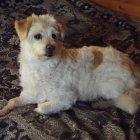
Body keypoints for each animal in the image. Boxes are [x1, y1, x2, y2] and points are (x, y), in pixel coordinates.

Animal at [0, 13, 139, 116]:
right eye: (37, 36)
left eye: (54, 36)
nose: (51, 47)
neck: (41, 65)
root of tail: (133, 65)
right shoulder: (30, 93)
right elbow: (13, 101)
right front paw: (4, 110)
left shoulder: (67, 97)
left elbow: (42, 107)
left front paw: (41, 107)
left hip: (108, 85)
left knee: (125, 101)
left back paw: (101, 104)